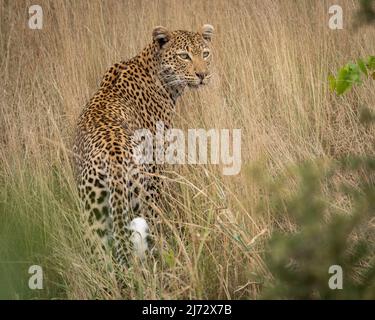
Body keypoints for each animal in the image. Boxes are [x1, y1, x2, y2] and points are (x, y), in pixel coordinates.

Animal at [73, 24, 214, 264]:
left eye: (204, 53)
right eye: (184, 56)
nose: (203, 75)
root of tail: (113, 161)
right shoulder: (156, 171)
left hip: (94, 213)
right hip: (137, 196)